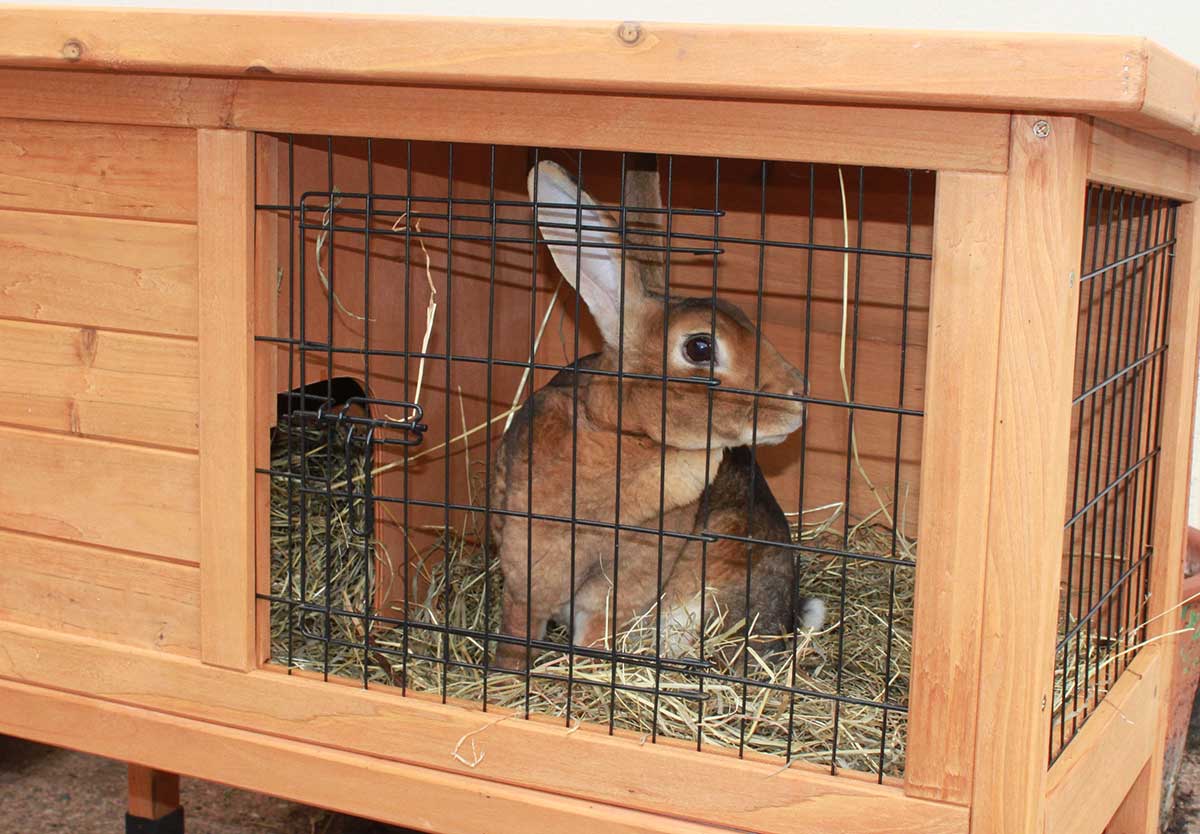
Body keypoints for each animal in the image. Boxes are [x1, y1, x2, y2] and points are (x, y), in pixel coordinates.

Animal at [487, 156, 822, 670]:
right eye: (700, 347)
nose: (797, 397)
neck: (626, 433)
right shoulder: (529, 558)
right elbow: (518, 626)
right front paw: (508, 674)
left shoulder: (627, 575)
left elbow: (596, 628)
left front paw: (585, 671)